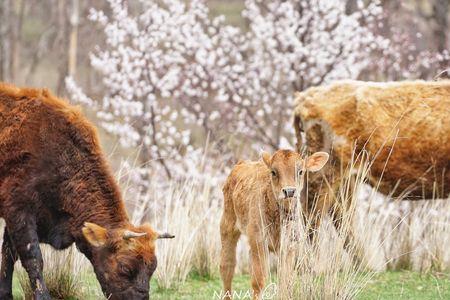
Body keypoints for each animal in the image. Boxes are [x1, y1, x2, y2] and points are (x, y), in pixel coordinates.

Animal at [0, 83, 174, 300]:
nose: (141, 297)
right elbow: (33, 259)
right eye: (125, 268)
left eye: (152, 268)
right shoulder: (19, 213)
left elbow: (8, 256)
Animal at [220, 149, 328, 298]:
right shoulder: (259, 242)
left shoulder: (289, 247)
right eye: (273, 172)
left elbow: (285, 281)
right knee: (227, 267)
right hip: (227, 226)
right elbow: (258, 282)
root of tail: (241, 164)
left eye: (300, 171)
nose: (289, 191)